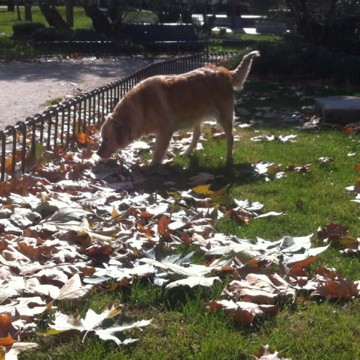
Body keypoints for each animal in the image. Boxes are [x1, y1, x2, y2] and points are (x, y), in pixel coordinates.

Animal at [97, 50, 260, 166]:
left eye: (106, 138)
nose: (97, 154)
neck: (141, 106)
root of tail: (225, 71)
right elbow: (159, 148)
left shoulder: (165, 131)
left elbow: (157, 152)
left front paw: (151, 166)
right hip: (196, 114)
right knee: (197, 135)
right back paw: (187, 152)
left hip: (223, 117)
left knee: (230, 138)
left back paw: (228, 159)